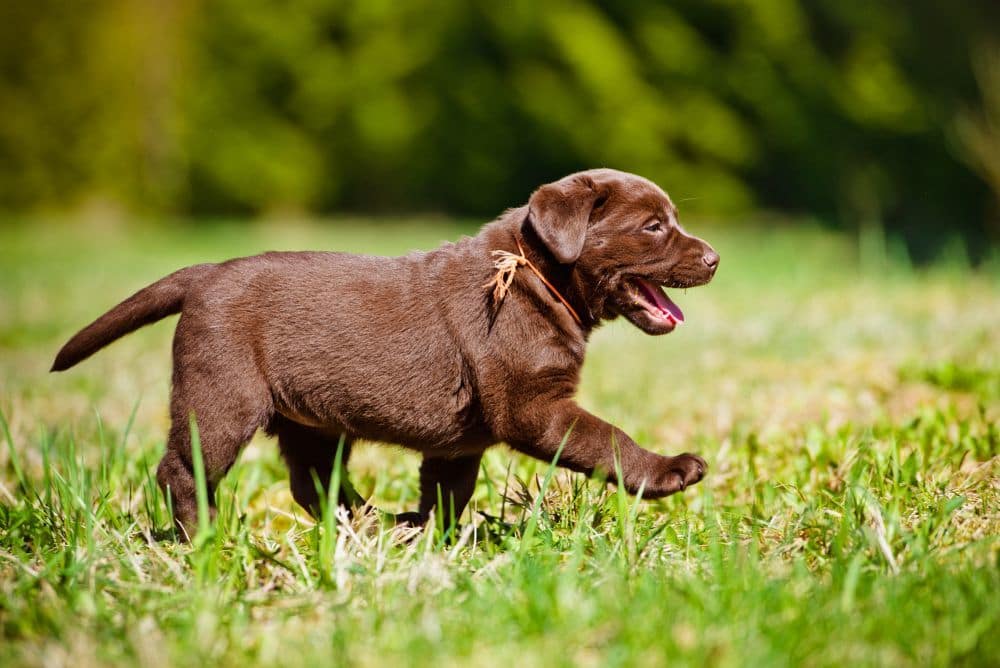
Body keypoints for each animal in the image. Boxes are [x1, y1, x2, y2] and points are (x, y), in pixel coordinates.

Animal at [52, 168, 720, 536]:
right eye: (654, 227)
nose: (714, 258)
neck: (532, 273)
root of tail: (205, 272)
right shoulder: (535, 408)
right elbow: (608, 439)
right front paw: (667, 470)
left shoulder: (463, 443)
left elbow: (448, 492)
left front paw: (427, 535)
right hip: (220, 397)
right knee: (182, 469)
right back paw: (206, 539)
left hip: (309, 419)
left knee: (314, 483)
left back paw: (372, 524)